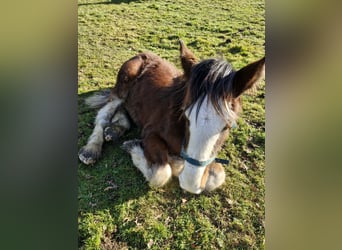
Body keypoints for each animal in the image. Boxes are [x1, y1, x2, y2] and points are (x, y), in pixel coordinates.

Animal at [79, 40, 264, 194]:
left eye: (227, 126)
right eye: (185, 117)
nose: (191, 182)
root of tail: (142, 54)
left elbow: (218, 176)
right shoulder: (150, 133)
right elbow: (162, 173)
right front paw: (134, 146)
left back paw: (115, 129)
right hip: (121, 90)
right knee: (103, 116)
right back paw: (91, 150)